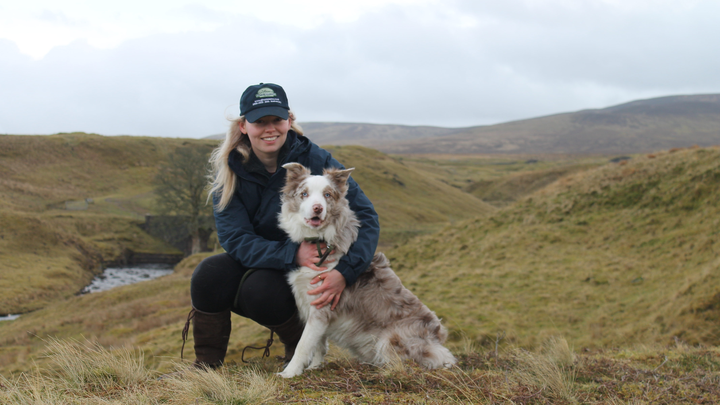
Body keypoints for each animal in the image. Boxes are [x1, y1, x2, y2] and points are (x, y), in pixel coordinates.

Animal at [277, 162, 456, 378]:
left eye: (327, 195)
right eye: (304, 193)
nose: (317, 208)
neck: (321, 243)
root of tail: (438, 338)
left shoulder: (322, 305)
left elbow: (303, 345)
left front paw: (289, 372)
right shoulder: (311, 303)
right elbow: (318, 344)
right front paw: (315, 367)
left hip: (390, 338)